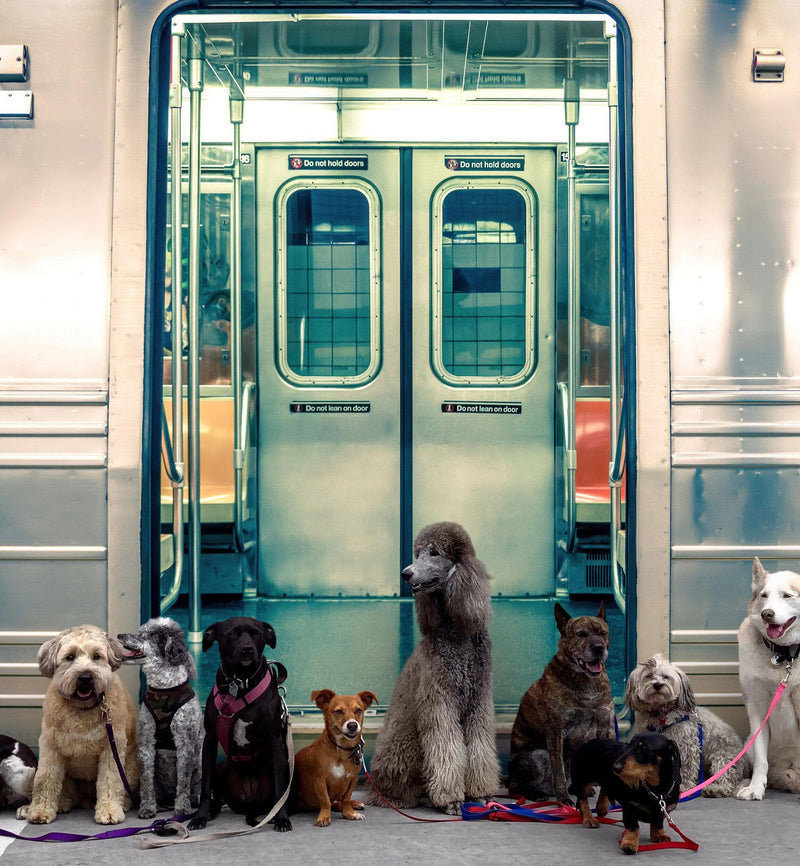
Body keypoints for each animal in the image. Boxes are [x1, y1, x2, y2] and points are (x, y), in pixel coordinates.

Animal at [18, 624, 139, 820]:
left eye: (97, 656)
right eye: (70, 656)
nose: (85, 677)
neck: (83, 709)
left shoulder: (112, 748)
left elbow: (110, 780)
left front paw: (109, 811)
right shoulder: (50, 747)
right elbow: (45, 779)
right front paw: (40, 810)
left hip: (131, 766)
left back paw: (123, 804)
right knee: (66, 791)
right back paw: (60, 803)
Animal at [189, 616, 292, 832]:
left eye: (257, 634)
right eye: (233, 633)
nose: (247, 649)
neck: (240, 683)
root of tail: (251, 803)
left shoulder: (275, 741)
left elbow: (280, 790)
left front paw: (282, 819)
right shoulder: (209, 740)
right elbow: (205, 787)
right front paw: (200, 816)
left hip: (285, 765)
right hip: (221, 766)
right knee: (217, 798)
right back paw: (210, 812)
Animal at [290, 688, 378, 824]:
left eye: (358, 710)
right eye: (338, 711)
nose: (352, 725)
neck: (341, 749)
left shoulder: (352, 779)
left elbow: (346, 798)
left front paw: (349, 813)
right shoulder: (319, 781)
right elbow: (325, 800)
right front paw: (324, 817)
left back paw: (354, 804)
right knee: (332, 803)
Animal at [506, 600, 612, 804]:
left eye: (602, 633)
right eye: (581, 634)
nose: (599, 648)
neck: (585, 680)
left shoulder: (605, 726)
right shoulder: (556, 730)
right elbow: (559, 771)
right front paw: (563, 798)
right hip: (536, 756)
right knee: (514, 786)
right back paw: (536, 793)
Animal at [740, 560, 800, 796]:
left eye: (787, 595)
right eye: (764, 595)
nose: (767, 613)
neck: (785, 655)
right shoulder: (757, 709)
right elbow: (761, 759)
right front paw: (756, 788)